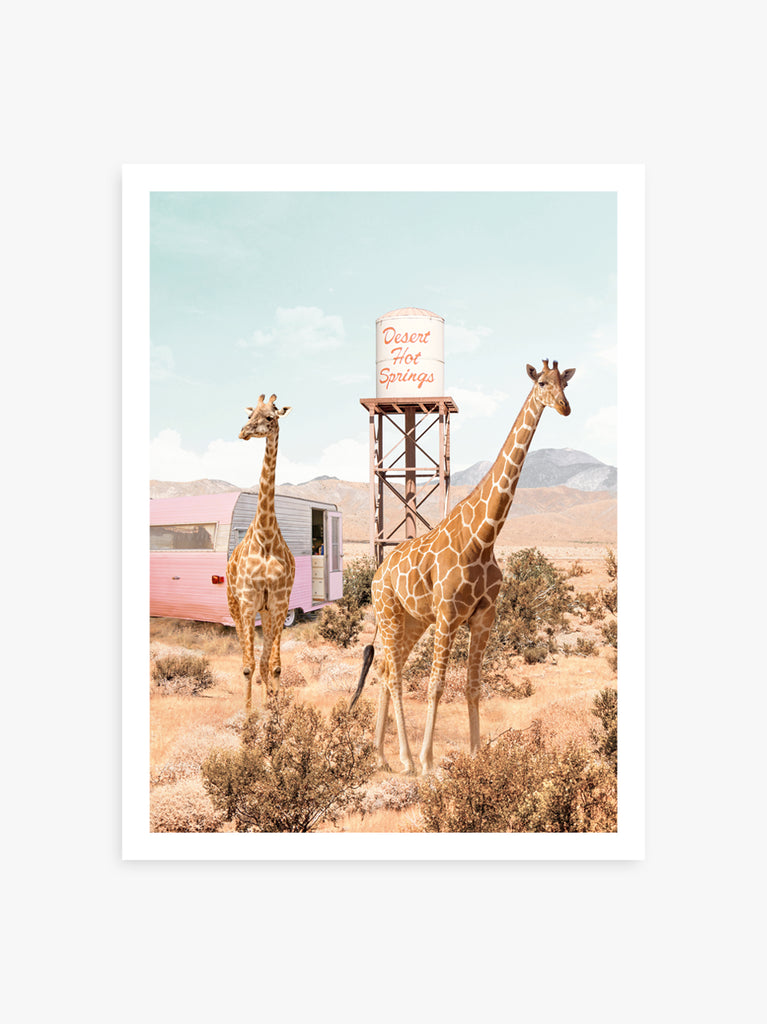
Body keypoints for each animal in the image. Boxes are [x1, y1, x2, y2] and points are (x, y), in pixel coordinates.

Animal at [350, 359, 576, 774]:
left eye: (565, 384)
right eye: (541, 382)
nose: (564, 407)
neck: (484, 538)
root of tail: (376, 574)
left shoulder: (484, 615)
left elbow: (472, 685)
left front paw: (476, 754)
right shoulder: (448, 614)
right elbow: (436, 684)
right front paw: (428, 761)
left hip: (413, 620)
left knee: (388, 668)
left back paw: (382, 754)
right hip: (389, 611)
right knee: (394, 674)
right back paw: (407, 759)